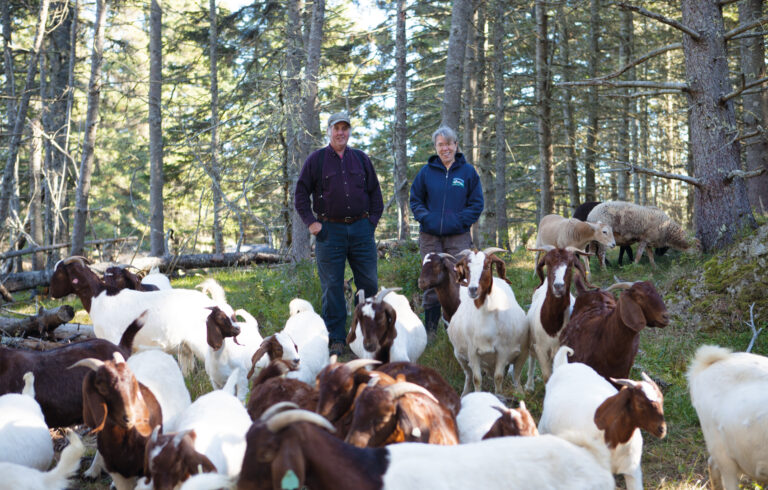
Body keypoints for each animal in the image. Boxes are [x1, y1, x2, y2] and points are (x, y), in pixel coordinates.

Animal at [448, 249, 532, 394]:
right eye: (466, 267)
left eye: (487, 266)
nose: (472, 289)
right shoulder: (472, 352)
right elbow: (476, 379)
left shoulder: (503, 351)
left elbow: (498, 377)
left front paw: (499, 395)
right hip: (459, 355)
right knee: (468, 374)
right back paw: (464, 393)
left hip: (522, 353)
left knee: (516, 375)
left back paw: (520, 393)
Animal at [536, 344, 668, 490]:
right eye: (639, 403)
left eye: (662, 401)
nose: (662, 429)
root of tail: (564, 365)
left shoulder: (633, 471)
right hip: (544, 428)